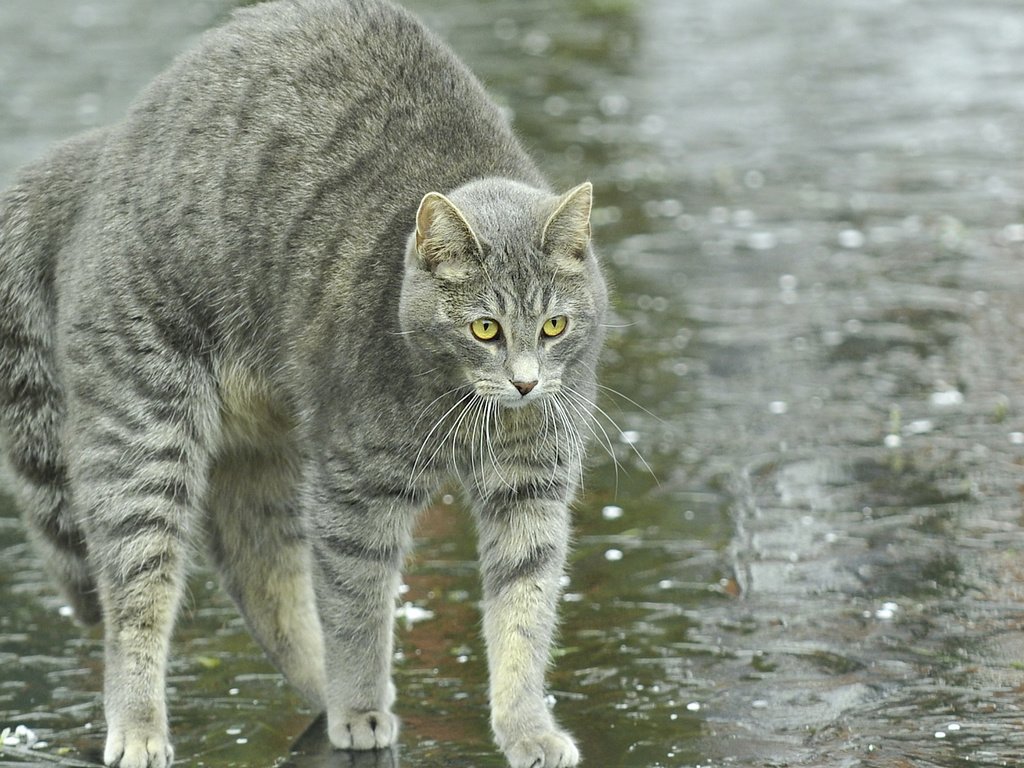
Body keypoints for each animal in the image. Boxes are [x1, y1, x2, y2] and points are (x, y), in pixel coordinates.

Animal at [0, 1, 606, 768]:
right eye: (485, 329)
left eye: (554, 325)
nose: (526, 386)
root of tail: (104, 148)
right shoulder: (355, 488)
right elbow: (358, 607)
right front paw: (360, 706)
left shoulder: (532, 485)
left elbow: (524, 612)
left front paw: (525, 726)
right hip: (145, 438)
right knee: (135, 597)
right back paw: (143, 726)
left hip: (262, 454)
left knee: (259, 574)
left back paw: (319, 688)